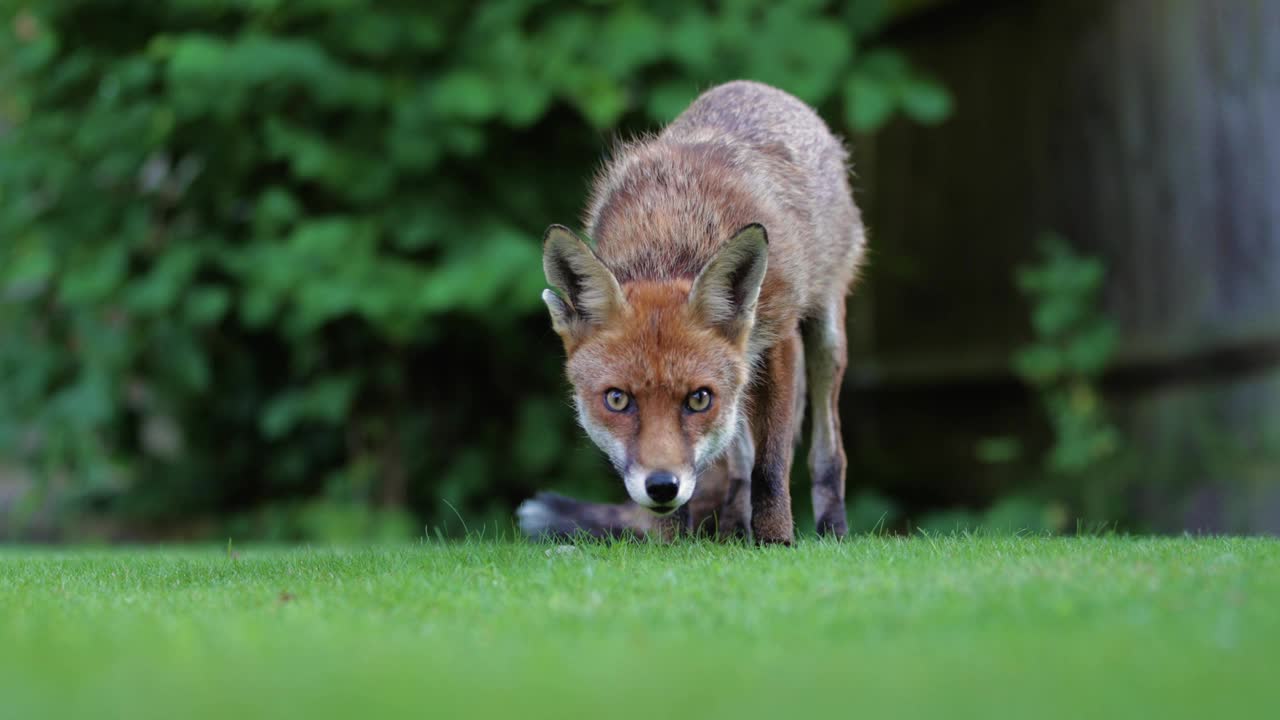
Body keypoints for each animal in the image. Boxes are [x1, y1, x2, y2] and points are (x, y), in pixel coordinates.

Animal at [514, 79, 865, 543]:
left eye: (698, 399)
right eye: (617, 399)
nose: (662, 486)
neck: (669, 235)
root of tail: (754, 86)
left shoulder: (779, 339)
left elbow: (771, 466)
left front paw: (776, 540)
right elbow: (737, 468)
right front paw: (673, 547)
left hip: (825, 335)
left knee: (827, 448)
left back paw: (832, 528)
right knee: (737, 465)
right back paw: (733, 530)